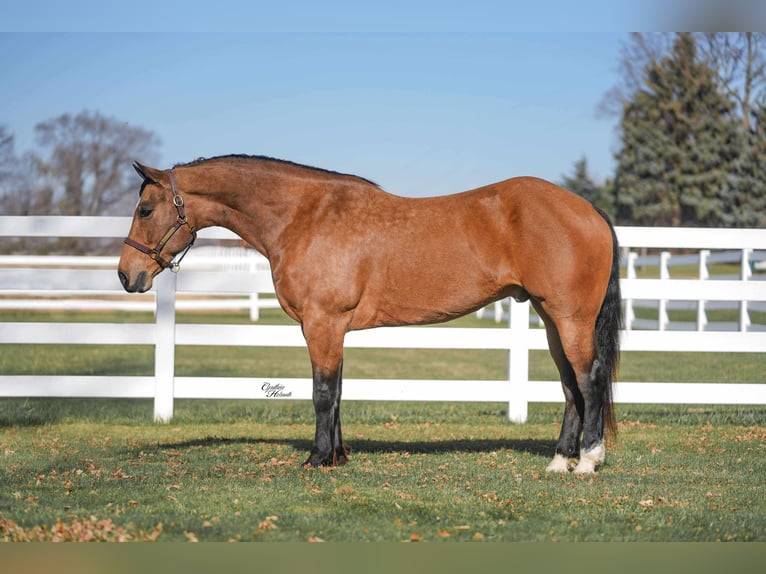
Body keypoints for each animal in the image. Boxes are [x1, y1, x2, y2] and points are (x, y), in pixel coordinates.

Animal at [118, 154, 622, 474]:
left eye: (146, 209)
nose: (127, 275)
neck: (305, 217)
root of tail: (587, 209)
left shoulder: (321, 323)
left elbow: (322, 393)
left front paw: (318, 459)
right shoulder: (333, 328)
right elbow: (338, 392)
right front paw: (338, 456)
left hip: (570, 318)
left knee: (590, 379)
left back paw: (588, 462)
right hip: (550, 318)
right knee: (569, 385)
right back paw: (559, 461)